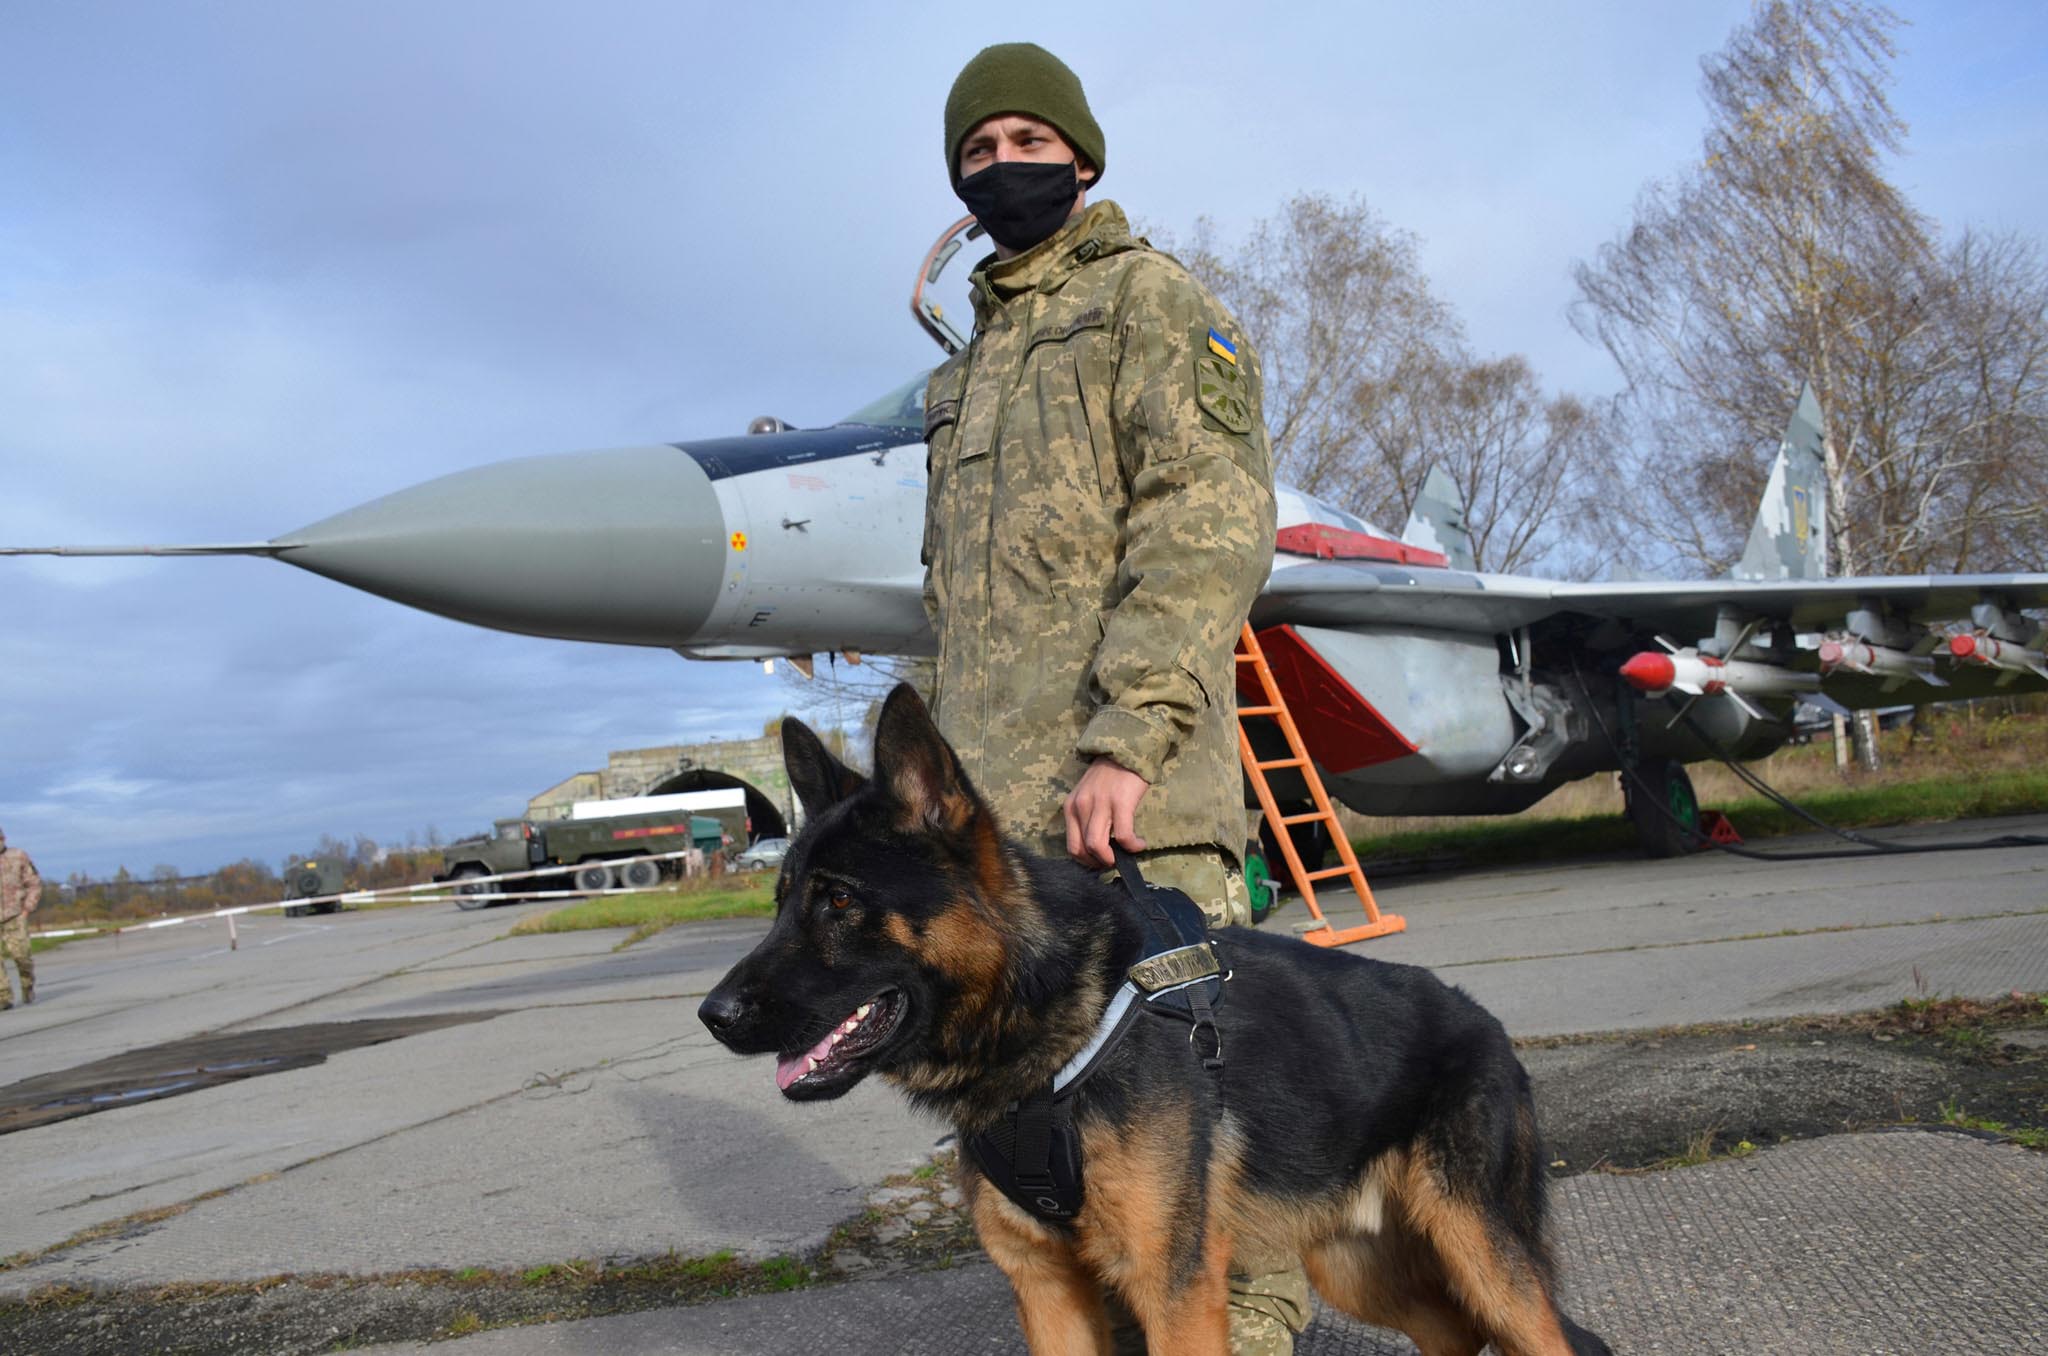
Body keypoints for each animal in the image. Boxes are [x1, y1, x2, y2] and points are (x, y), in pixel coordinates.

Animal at [704, 692, 1613, 1356]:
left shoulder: (1171, 1290)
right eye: (779, 902)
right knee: (1453, 1335)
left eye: (838, 901)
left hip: (1482, 1255)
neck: (1048, 1035)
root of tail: (1484, 1020)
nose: (714, 1016)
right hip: (1356, 1265)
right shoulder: (1048, 1289)